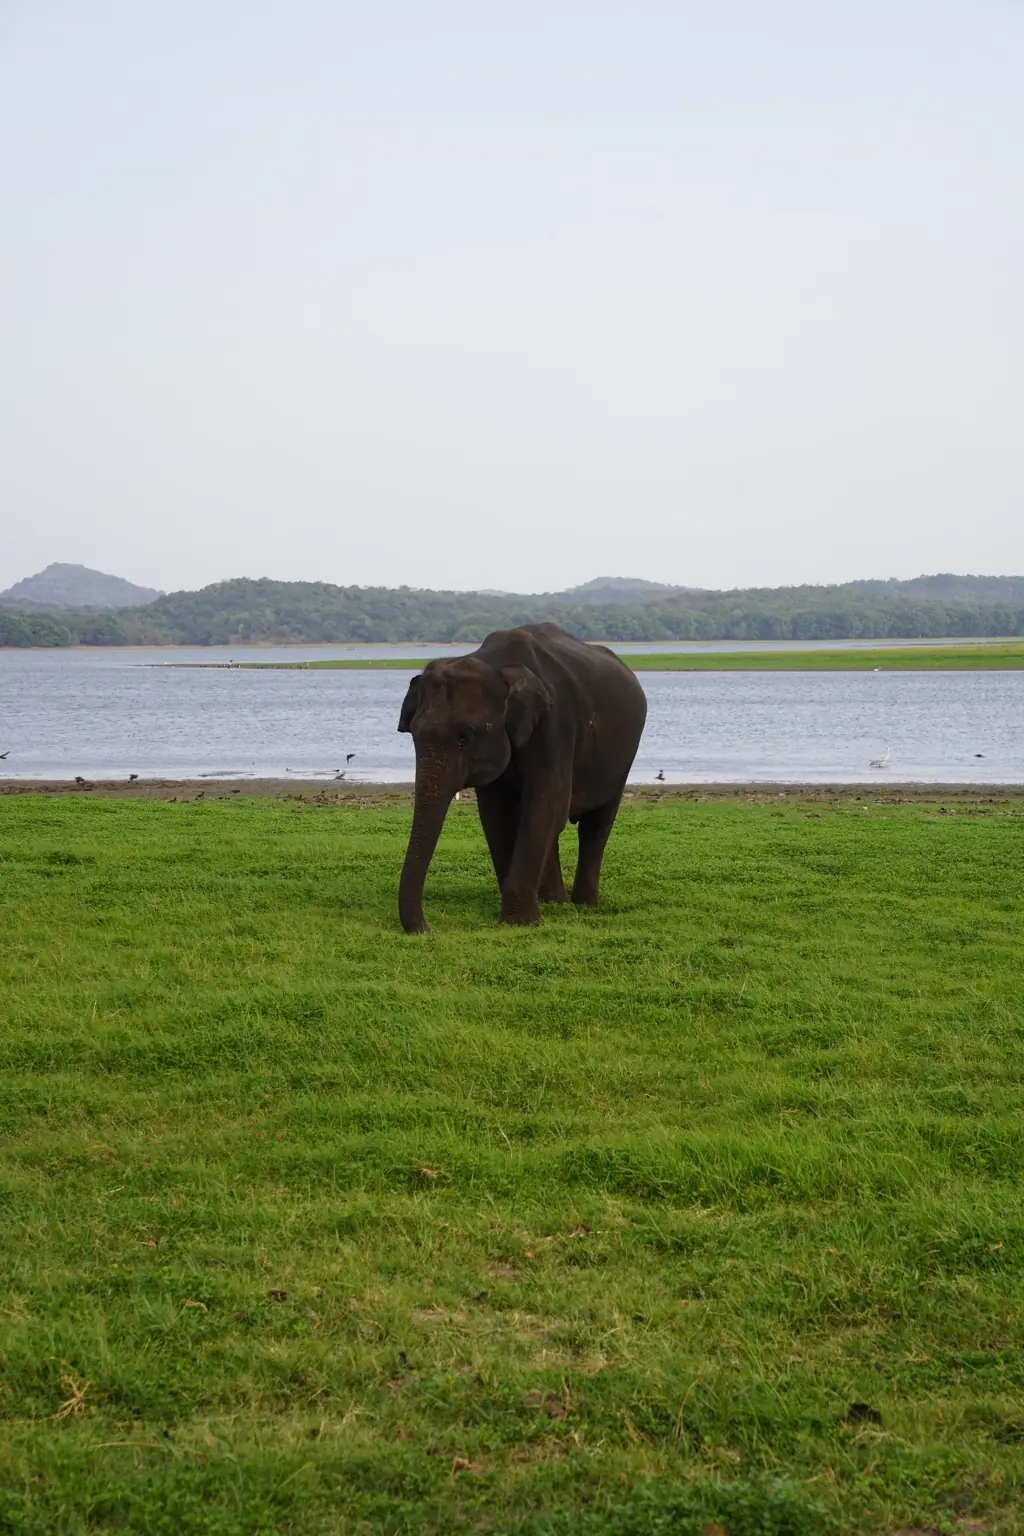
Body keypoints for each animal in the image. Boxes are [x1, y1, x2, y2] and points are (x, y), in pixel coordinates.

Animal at [396, 622, 647, 931]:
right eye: (414, 735)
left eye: (464, 737)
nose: (430, 928)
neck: (495, 664)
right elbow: (497, 814)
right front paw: (523, 915)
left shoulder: (555, 726)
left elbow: (546, 806)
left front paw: (519, 921)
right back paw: (555, 902)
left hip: (624, 756)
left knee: (596, 824)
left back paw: (583, 905)